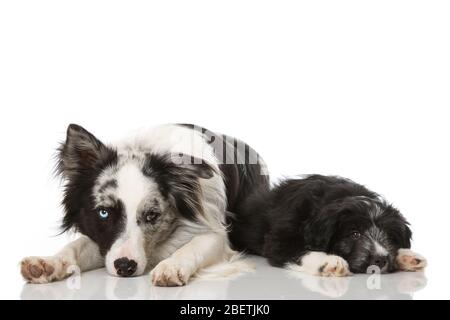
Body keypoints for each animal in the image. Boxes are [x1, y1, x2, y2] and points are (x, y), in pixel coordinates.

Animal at [20, 124, 268, 286]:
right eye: (104, 213)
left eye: (152, 215)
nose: (125, 267)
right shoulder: (105, 243)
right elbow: (77, 246)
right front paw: (48, 263)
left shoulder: (217, 234)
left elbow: (193, 246)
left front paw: (171, 266)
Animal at [230, 174, 428, 276]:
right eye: (354, 234)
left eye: (388, 236)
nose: (380, 259)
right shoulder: (280, 239)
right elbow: (300, 250)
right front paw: (328, 261)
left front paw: (406, 256)